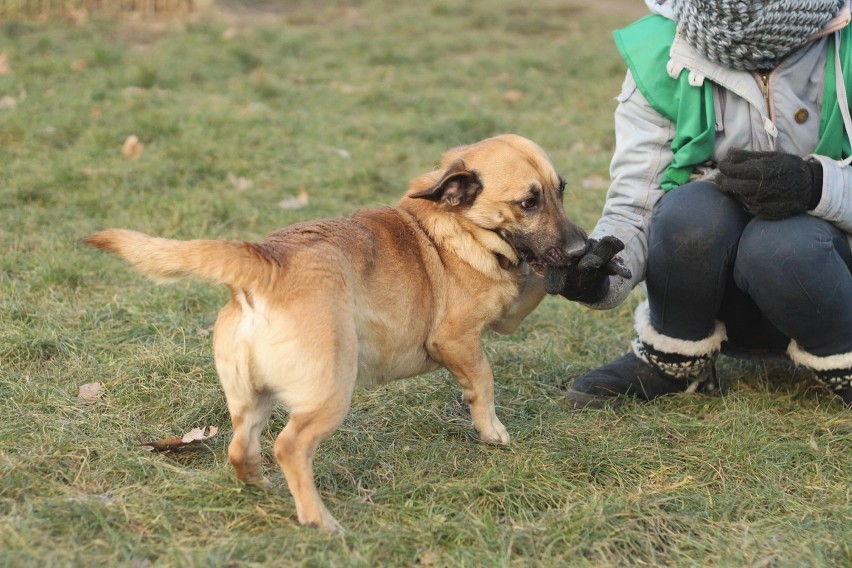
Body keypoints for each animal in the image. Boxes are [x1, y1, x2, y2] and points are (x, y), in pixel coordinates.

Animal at [85, 135, 584, 536]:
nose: (581, 250)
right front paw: (492, 430)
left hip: (252, 400)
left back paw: (263, 486)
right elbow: (484, 381)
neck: (455, 226)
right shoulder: (460, 338)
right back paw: (319, 520)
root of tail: (266, 261)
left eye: (561, 190)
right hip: (329, 393)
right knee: (289, 448)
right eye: (528, 203)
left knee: (240, 449)